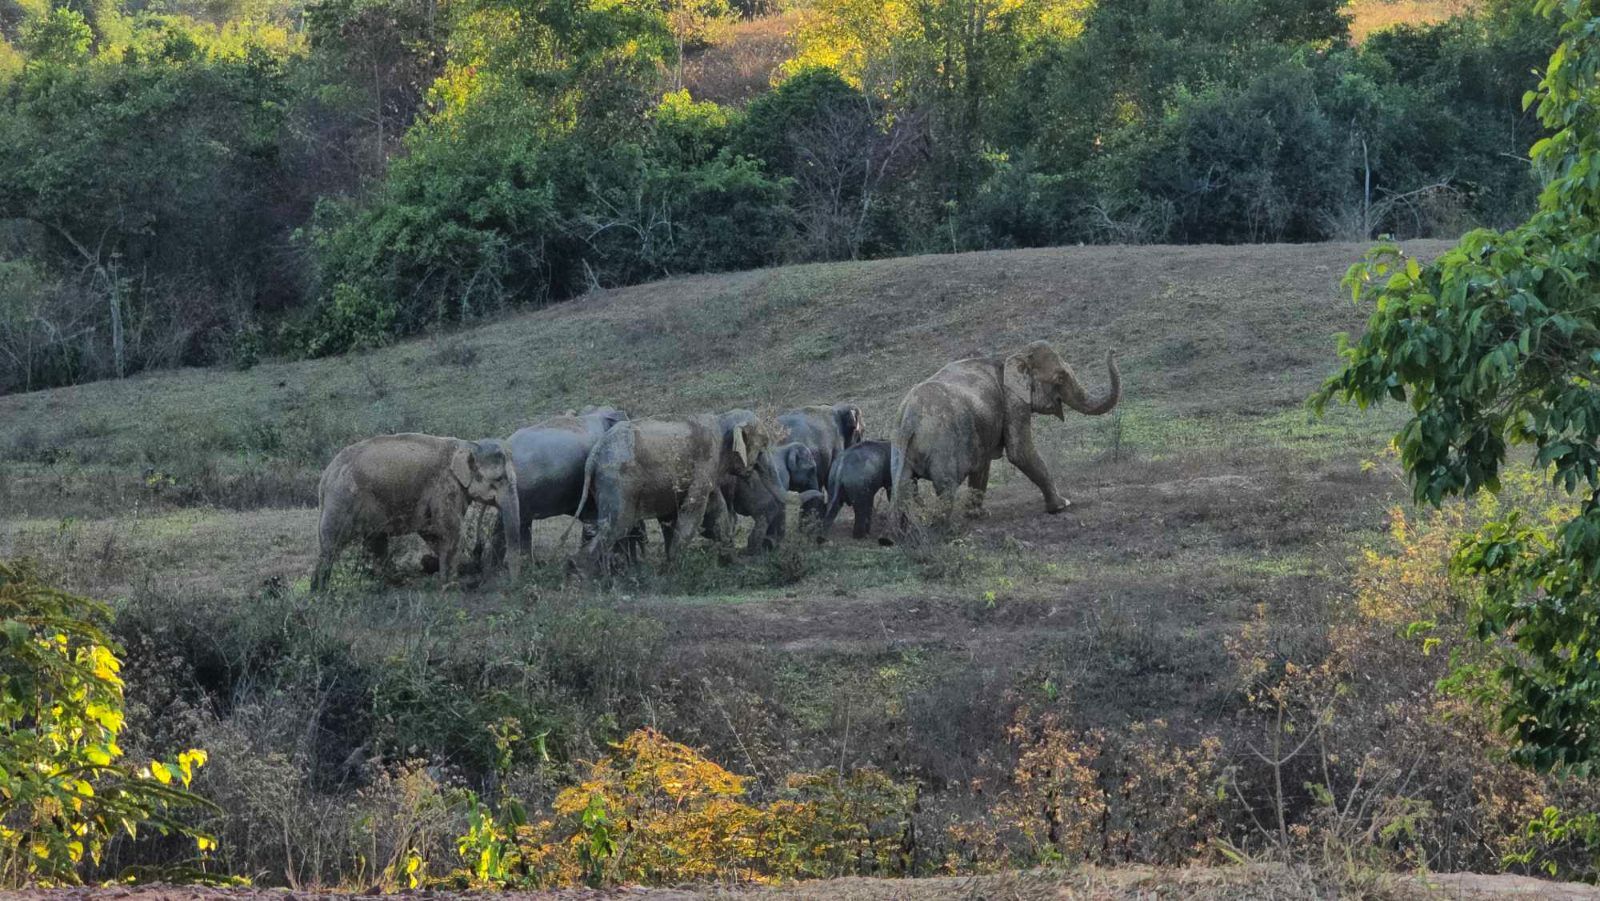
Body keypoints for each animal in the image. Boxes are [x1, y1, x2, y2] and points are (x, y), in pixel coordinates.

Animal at [316, 435, 524, 592]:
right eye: (499, 479)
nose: (511, 585)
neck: (467, 444)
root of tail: (325, 476)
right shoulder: (445, 486)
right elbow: (452, 531)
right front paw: (451, 586)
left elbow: (431, 532)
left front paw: (444, 579)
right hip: (342, 499)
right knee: (331, 545)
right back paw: (320, 592)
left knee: (376, 541)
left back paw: (389, 584)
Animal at [889, 342, 1126, 531]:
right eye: (1060, 377)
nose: (1112, 349)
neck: (1010, 358)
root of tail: (909, 417)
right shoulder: (1013, 401)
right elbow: (1019, 452)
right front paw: (1062, 505)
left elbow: (983, 465)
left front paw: (978, 515)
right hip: (943, 446)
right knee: (945, 486)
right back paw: (945, 529)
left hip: (900, 450)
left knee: (904, 487)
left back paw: (907, 531)